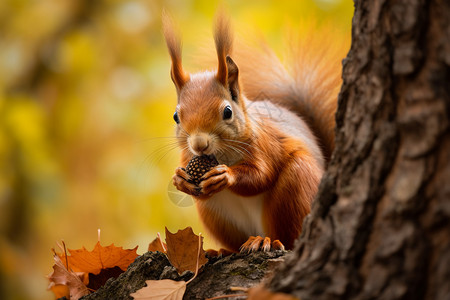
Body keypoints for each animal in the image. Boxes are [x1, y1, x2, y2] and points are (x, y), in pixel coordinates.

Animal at [162, 13, 344, 253]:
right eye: (175, 116)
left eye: (227, 111)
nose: (199, 144)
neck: (221, 155)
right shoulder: (188, 154)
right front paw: (179, 179)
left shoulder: (265, 145)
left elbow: (261, 175)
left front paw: (226, 175)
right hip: (216, 216)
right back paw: (223, 250)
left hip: (297, 186)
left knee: (288, 235)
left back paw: (267, 241)